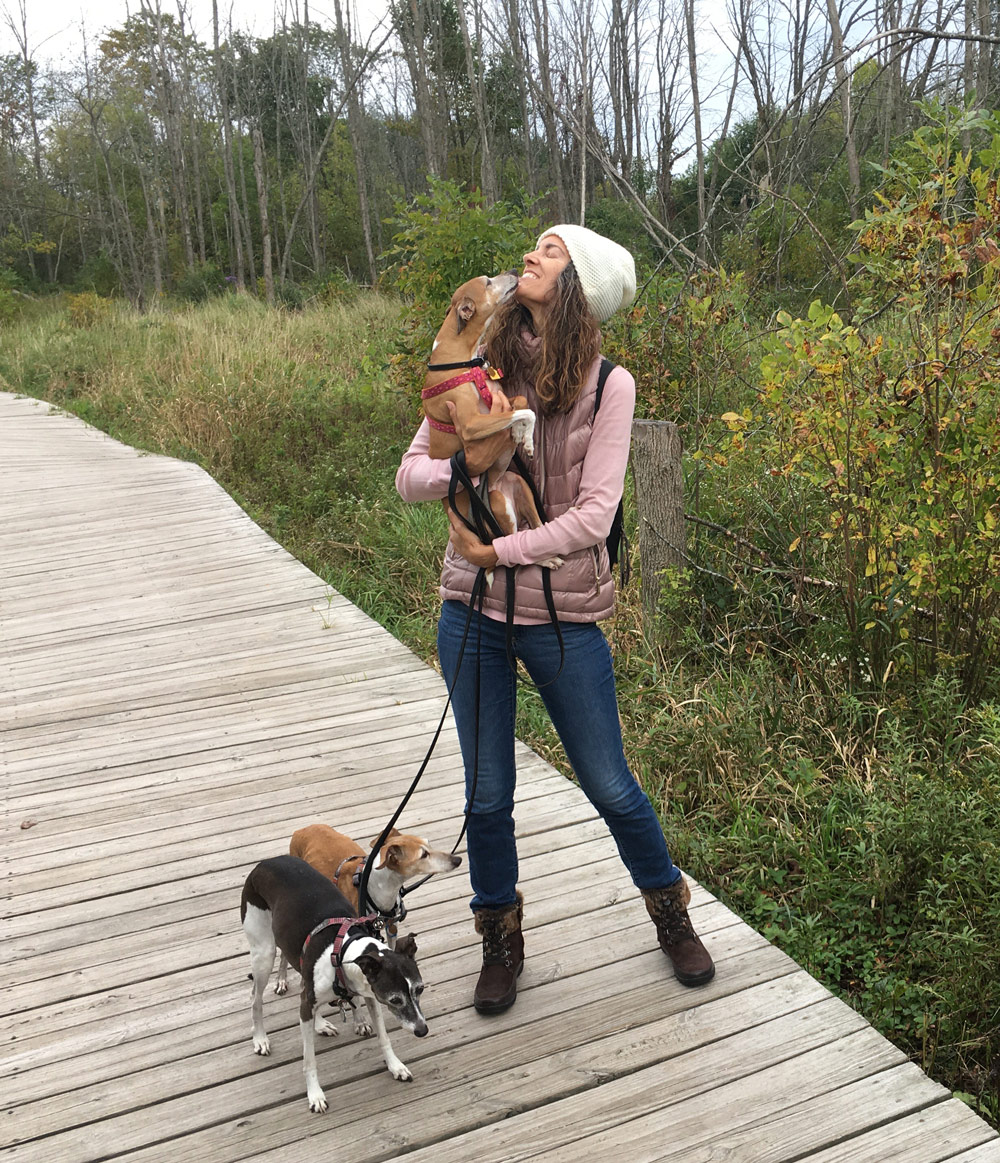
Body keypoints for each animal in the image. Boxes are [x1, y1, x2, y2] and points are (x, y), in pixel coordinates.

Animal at [245, 860, 430, 1111]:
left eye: (419, 989)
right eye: (395, 1000)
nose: (422, 1030)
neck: (342, 950)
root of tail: (264, 863)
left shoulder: (371, 996)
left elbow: (383, 1037)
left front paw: (395, 1066)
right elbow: (309, 1060)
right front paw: (315, 1094)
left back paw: (320, 1023)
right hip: (264, 954)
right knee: (256, 999)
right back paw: (260, 1039)